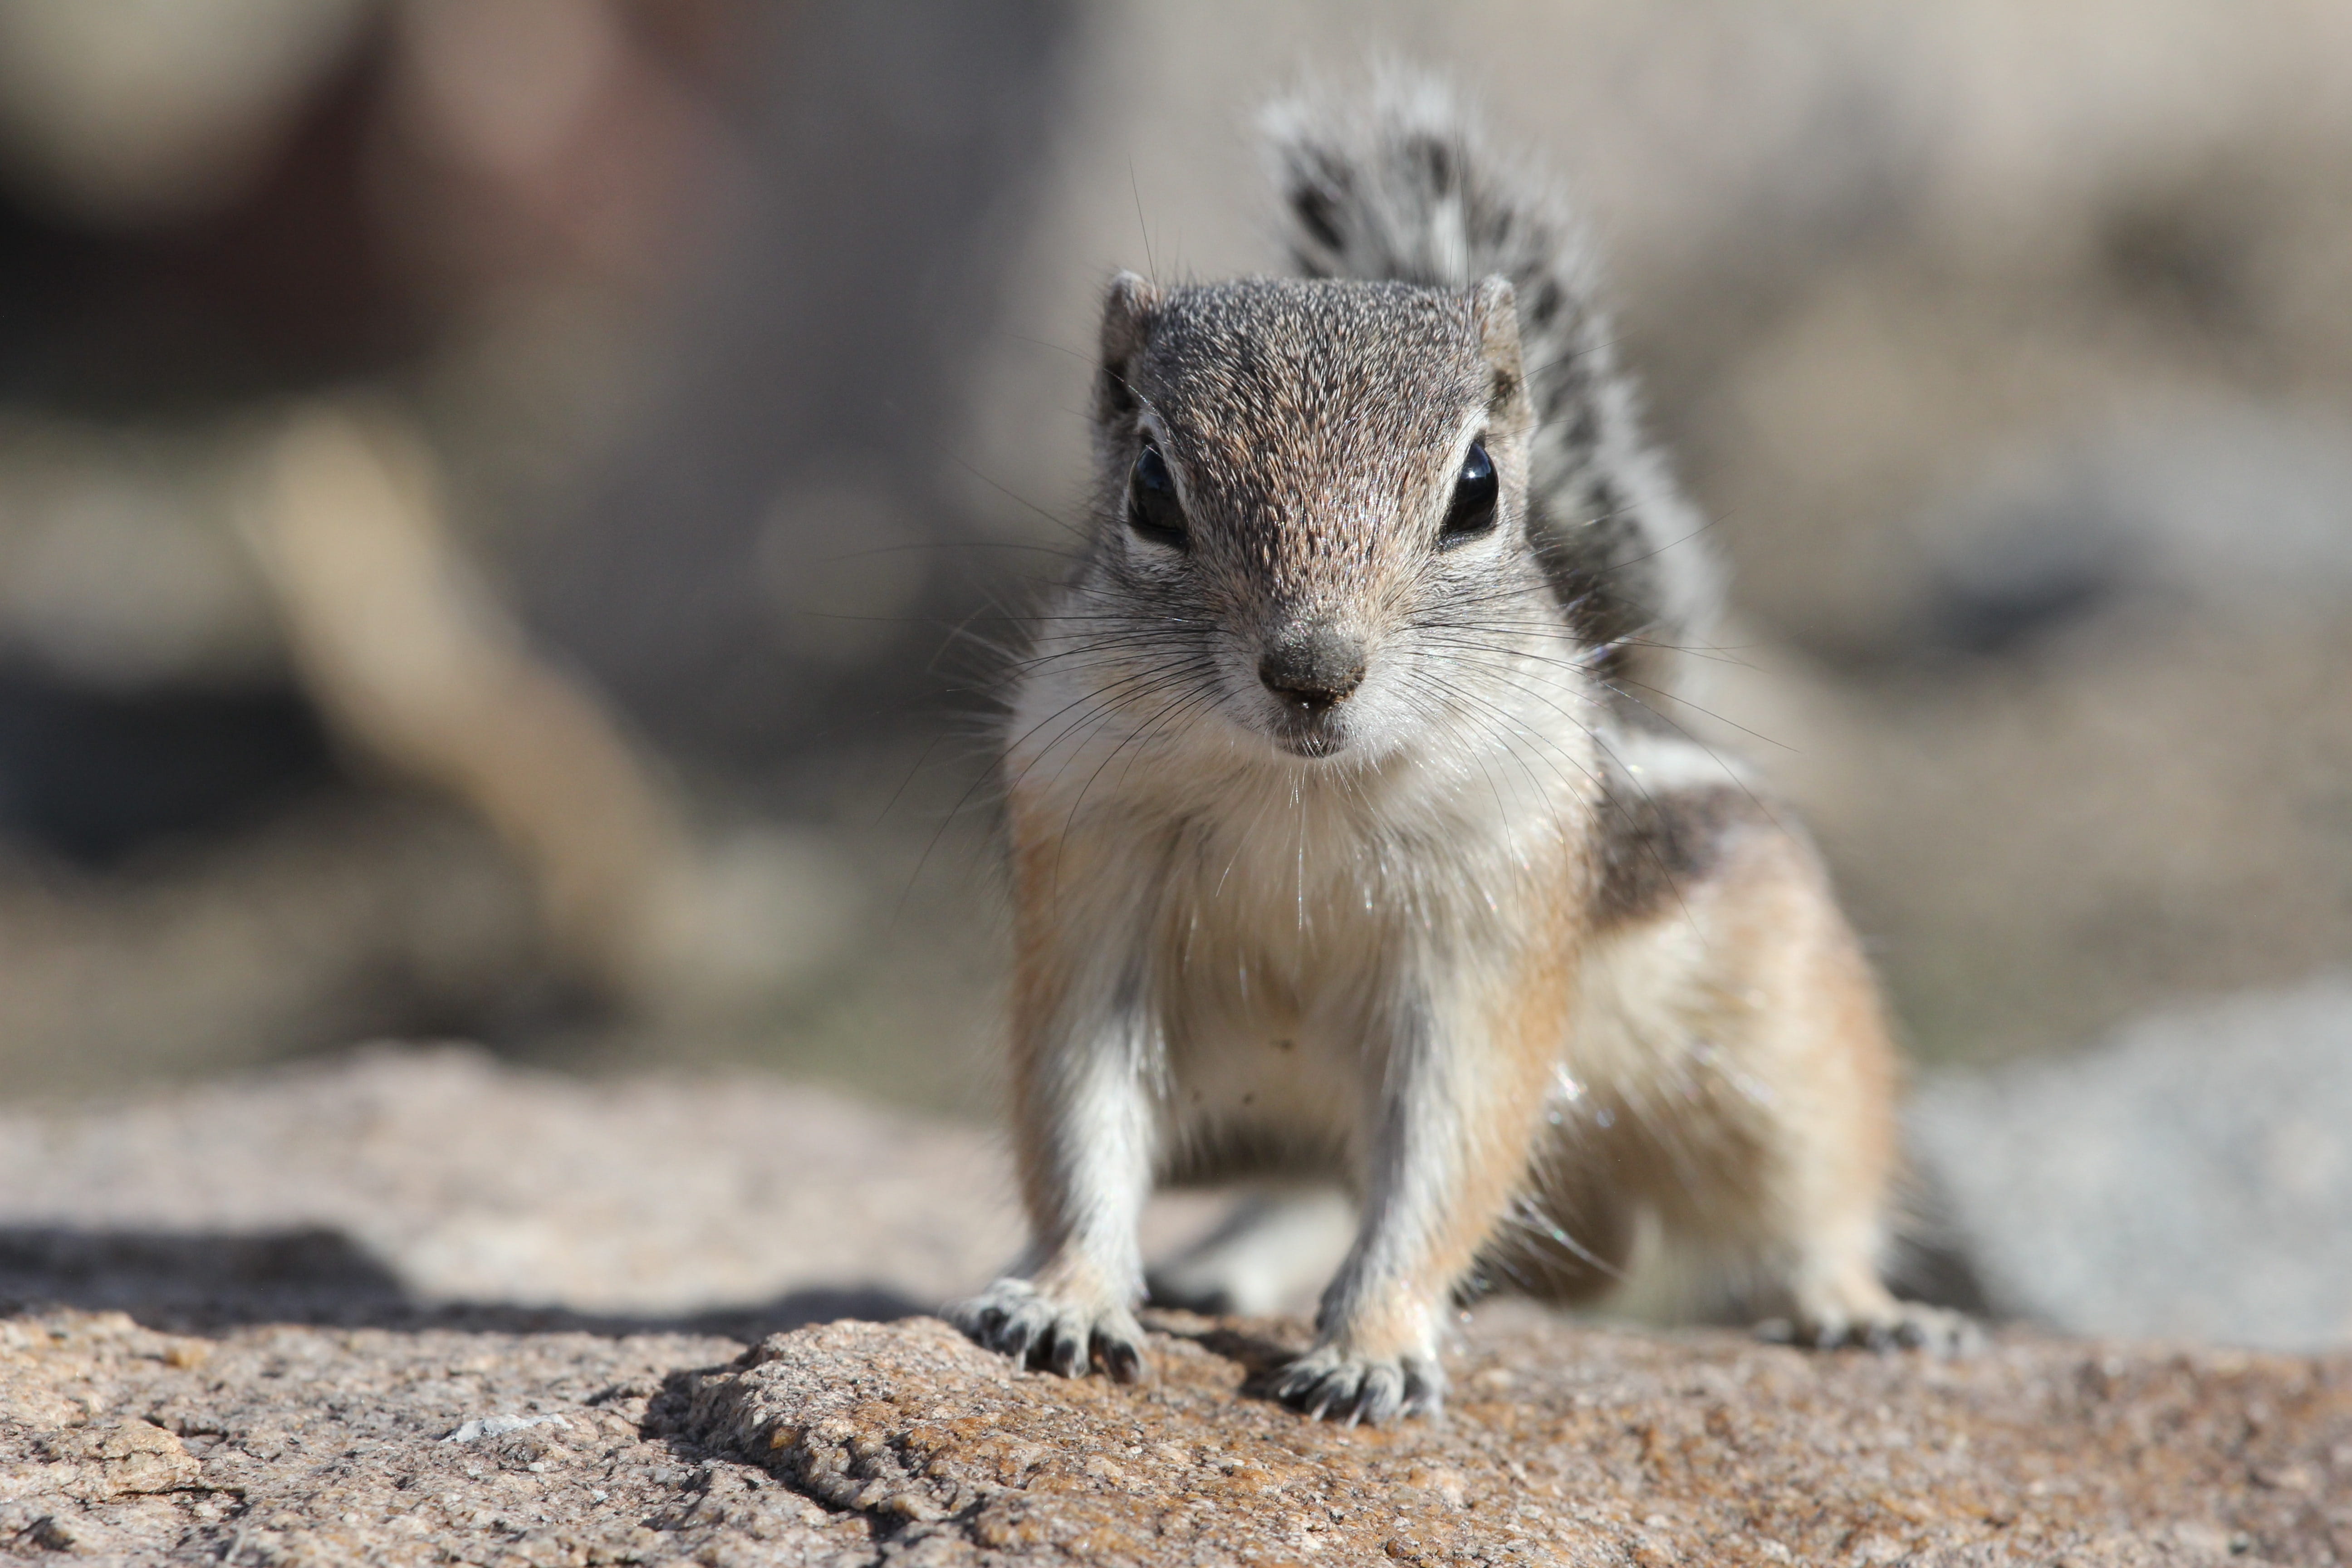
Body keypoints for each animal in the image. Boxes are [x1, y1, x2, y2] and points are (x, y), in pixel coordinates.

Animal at [950, 75, 1969, 1424]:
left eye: (1476, 487)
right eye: (1153, 492)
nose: (1313, 668)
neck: (1298, 798)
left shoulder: (1487, 933)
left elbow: (1451, 1150)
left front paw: (1372, 1344)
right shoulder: (1092, 887)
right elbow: (1078, 1122)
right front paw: (1066, 1296)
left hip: (1784, 1039)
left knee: (1808, 1206)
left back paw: (1863, 1312)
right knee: (1313, 1187)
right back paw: (1220, 1267)